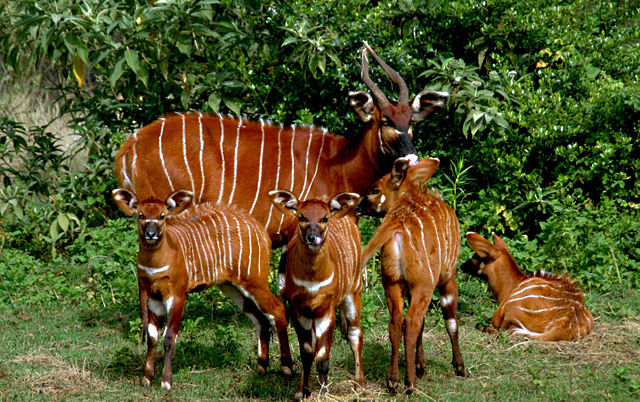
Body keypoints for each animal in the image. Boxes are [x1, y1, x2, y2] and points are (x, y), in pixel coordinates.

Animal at [112, 189, 292, 392]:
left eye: (162, 216)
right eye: (141, 215)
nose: (151, 234)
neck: (156, 264)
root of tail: (261, 231)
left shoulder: (177, 296)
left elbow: (169, 338)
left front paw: (166, 382)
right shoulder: (154, 298)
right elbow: (152, 337)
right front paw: (146, 379)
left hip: (255, 282)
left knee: (277, 309)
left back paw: (287, 369)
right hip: (232, 287)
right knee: (260, 318)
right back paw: (261, 368)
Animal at [268, 190, 364, 400]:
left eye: (324, 218)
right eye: (301, 216)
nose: (313, 238)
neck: (312, 282)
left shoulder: (327, 310)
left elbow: (323, 357)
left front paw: (324, 392)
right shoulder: (299, 310)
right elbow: (306, 352)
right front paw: (303, 391)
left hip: (354, 292)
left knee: (355, 334)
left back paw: (359, 384)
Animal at [356, 157, 464, 392]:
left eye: (375, 189)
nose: (358, 207)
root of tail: (397, 223)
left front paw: (421, 364)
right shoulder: (446, 278)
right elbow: (450, 321)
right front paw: (459, 366)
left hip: (392, 282)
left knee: (396, 321)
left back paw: (393, 380)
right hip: (424, 284)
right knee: (412, 321)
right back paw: (410, 381)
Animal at [462, 231, 592, 340]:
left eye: (477, 256)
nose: (462, 266)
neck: (512, 286)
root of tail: (564, 322)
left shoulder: (497, 317)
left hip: (512, 311)